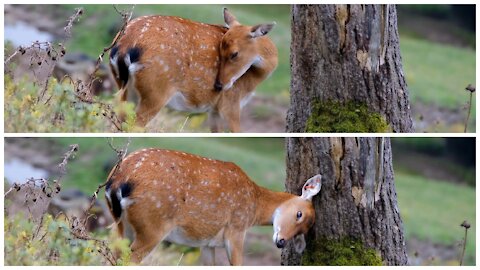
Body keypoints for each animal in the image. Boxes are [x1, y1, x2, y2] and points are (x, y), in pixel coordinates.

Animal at [105, 148, 322, 264]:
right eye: (299, 214)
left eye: (302, 231)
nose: (282, 242)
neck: (254, 205)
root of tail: (118, 181)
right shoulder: (236, 229)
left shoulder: (207, 243)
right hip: (153, 226)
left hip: (121, 225)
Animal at [109, 8, 278, 133]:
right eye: (221, 51)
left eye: (234, 54)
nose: (218, 85)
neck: (253, 81)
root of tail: (124, 47)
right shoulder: (231, 103)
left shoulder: (214, 111)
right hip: (156, 91)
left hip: (125, 87)